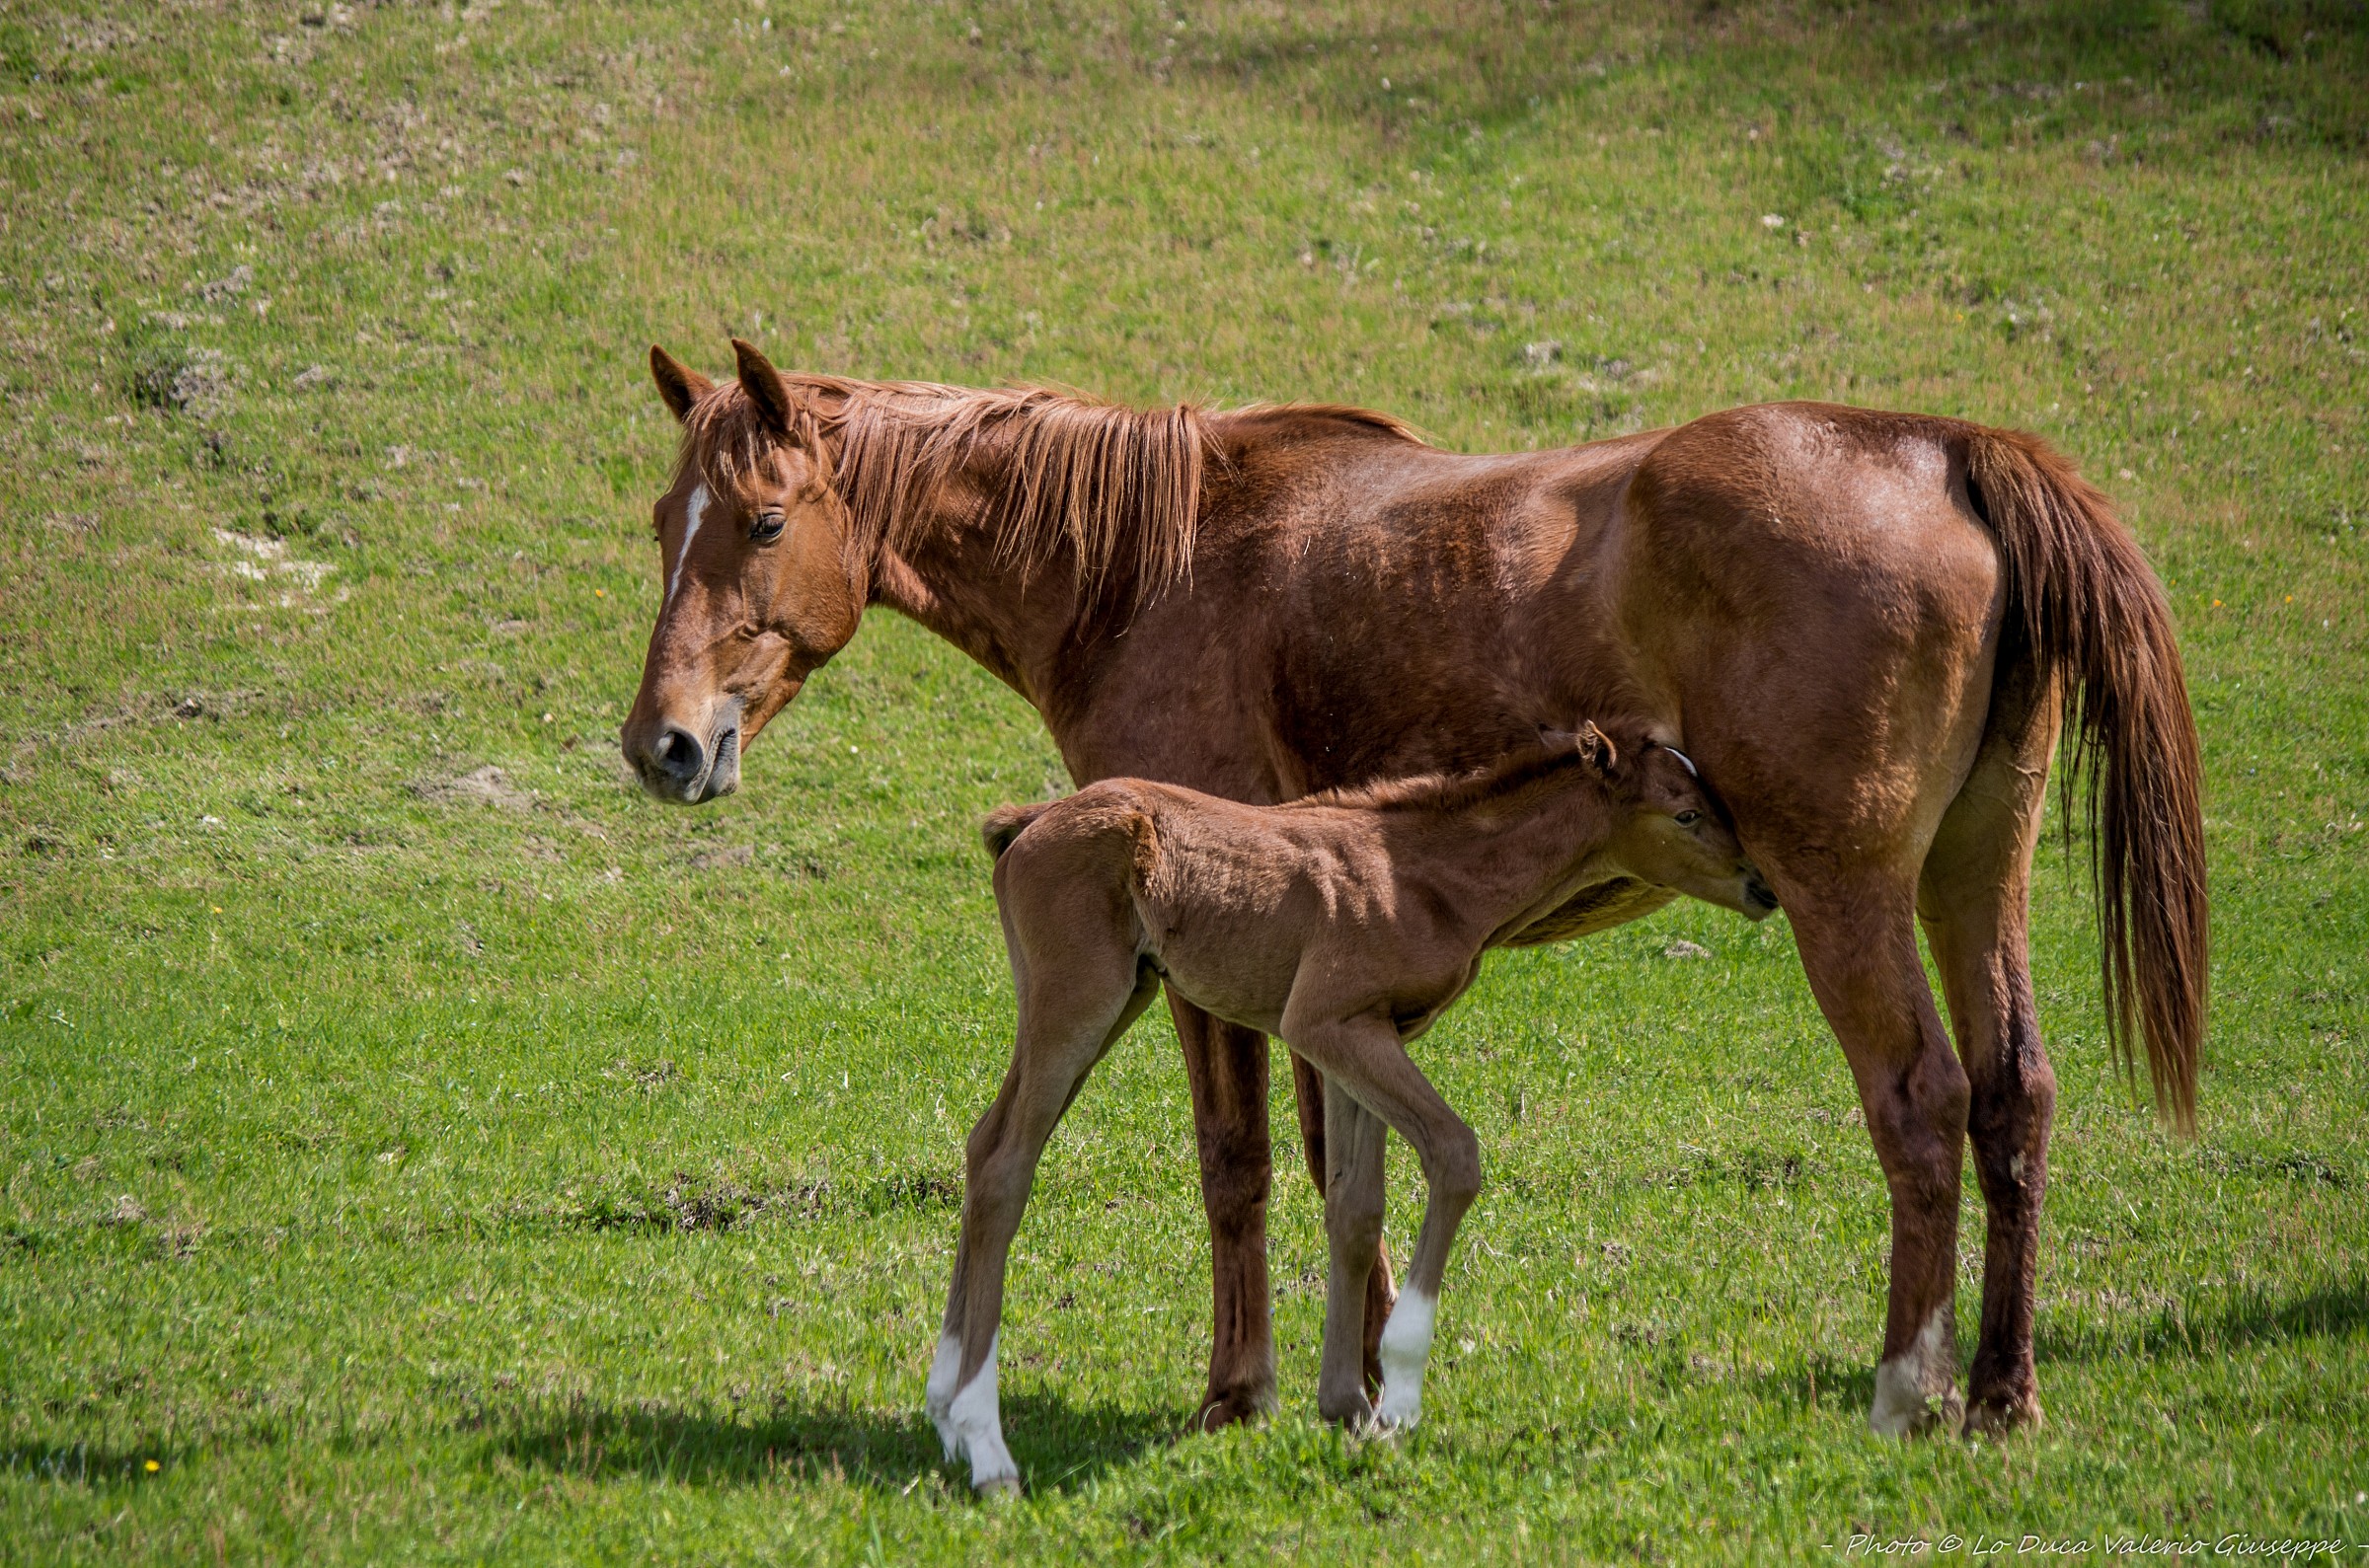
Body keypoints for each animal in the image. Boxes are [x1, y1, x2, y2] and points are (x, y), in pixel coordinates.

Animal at [933, 724, 1772, 1491]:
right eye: (1684, 813)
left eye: (1716, 800)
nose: (1761, 887)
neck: (1426, 876)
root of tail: (1028, 826)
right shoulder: (1329, 1023)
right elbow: (1454, 1155)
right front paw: (1397, 1394)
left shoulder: (1357, 1039)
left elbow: (1354, 1207)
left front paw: (1347, 1406)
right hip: (1077, 1002)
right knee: (1007, 1164)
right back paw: (987, 1445)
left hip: (1114, 1000)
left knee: (982, 1146)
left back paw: (943, 1408)